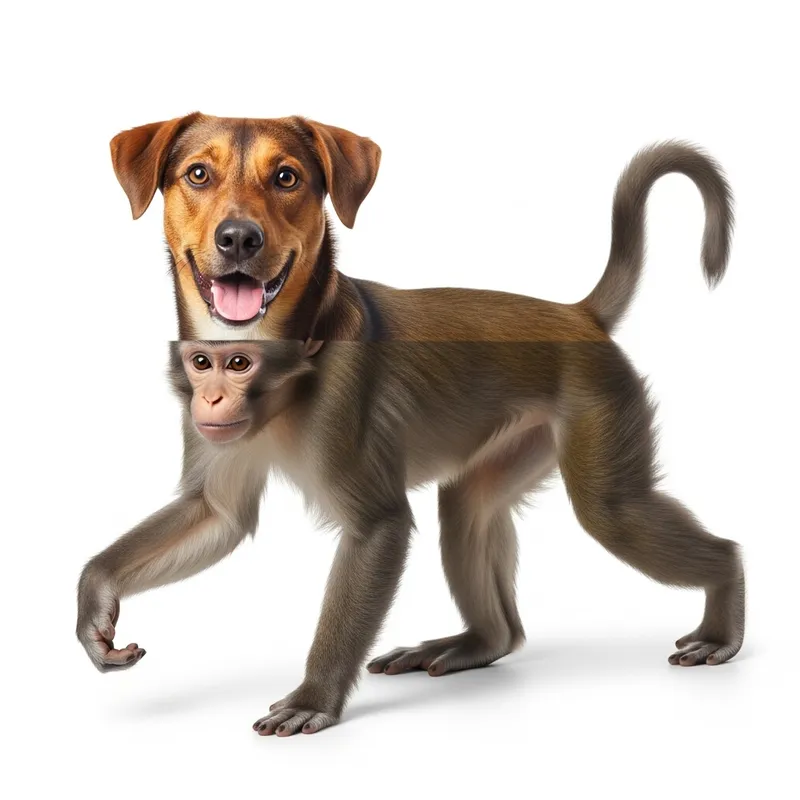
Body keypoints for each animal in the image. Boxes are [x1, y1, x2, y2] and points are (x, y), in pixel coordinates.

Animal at [76, 331, 745, 737]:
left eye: (239, 363)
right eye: (202, 362)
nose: (210, 399)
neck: (283, 405)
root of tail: (577, 316)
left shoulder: (339, 413)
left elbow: (380, 527)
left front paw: (314, 697)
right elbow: (217, 515)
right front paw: (99, 592)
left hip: (598, 400)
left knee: (611, 511)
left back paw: (725, 588)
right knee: (468, 506)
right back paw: (484, 640)